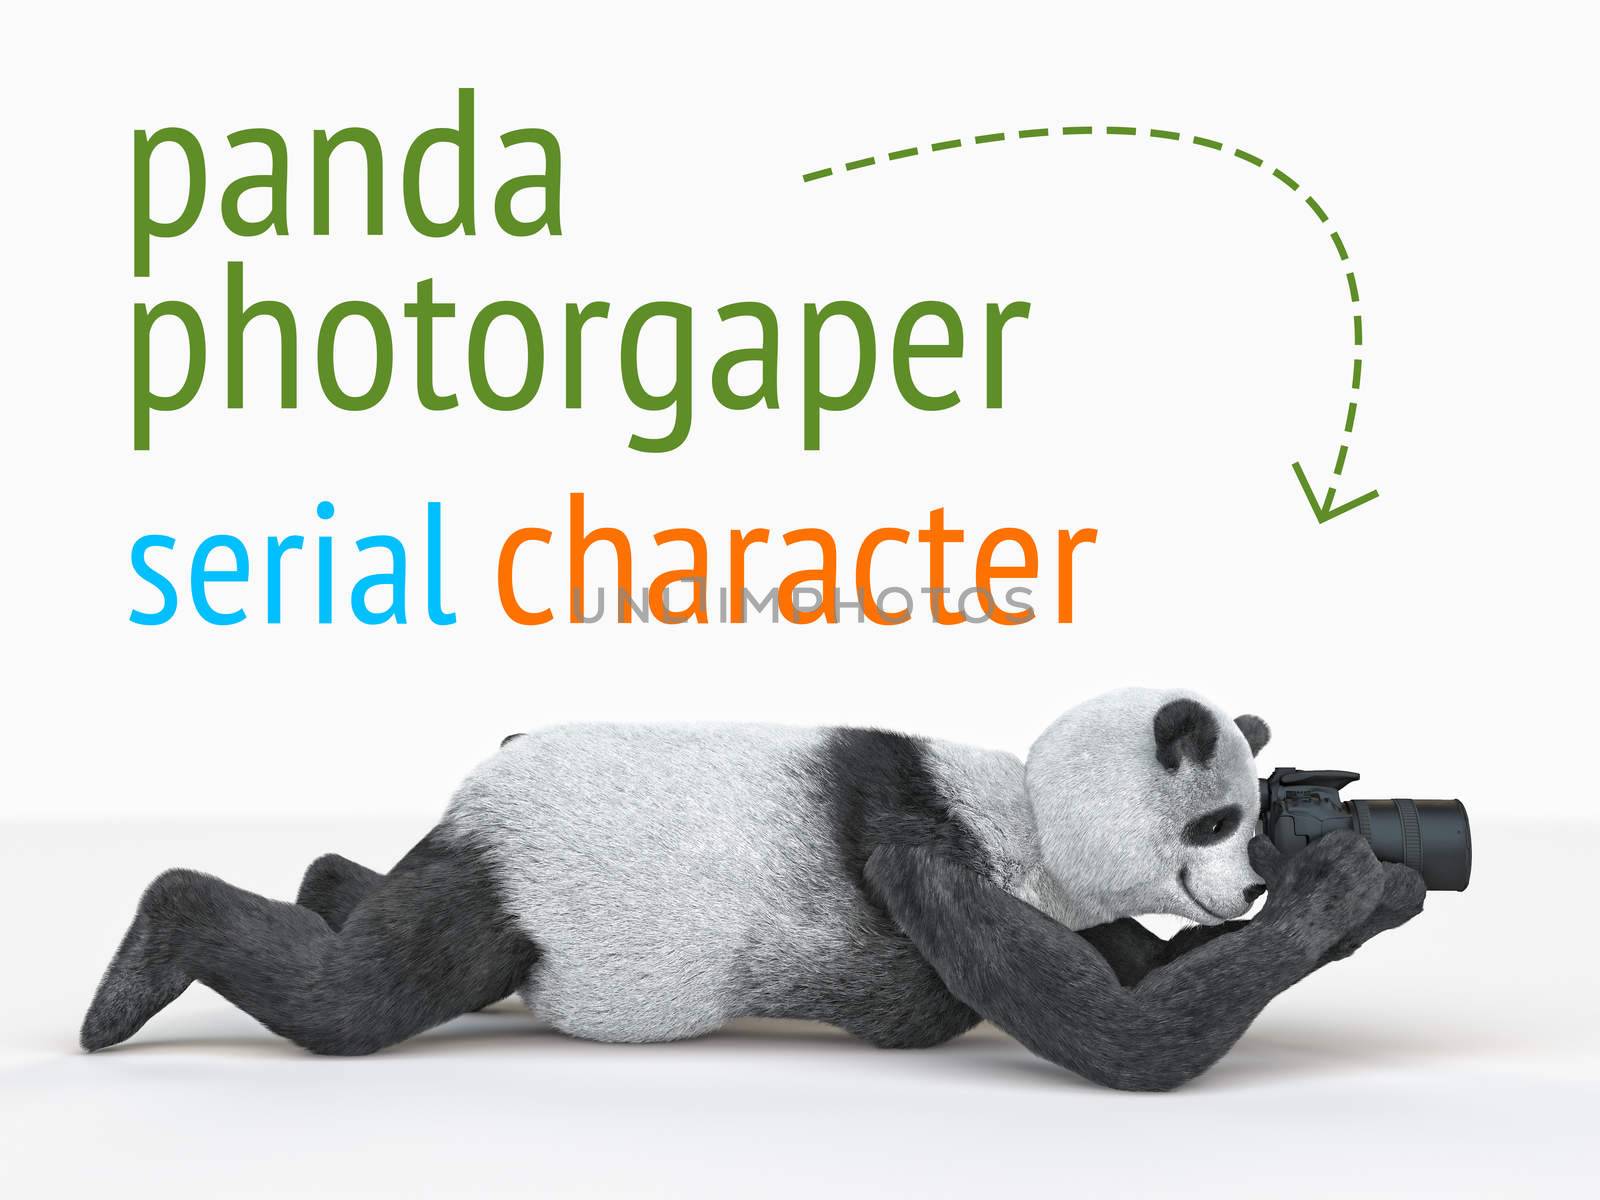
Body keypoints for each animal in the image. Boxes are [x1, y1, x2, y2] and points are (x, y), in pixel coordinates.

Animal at [78, 684, 1427, 1088]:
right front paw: (1347, 884)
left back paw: (321, 874)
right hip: (521, 878)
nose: (1243, 885)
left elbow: (1144, 981)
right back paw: (145, 955)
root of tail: (476, 790)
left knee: (356, 907)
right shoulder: (920, 849)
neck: (1027, 815)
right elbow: (1123, 1035)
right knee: (361, 992)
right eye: (1218, 818)